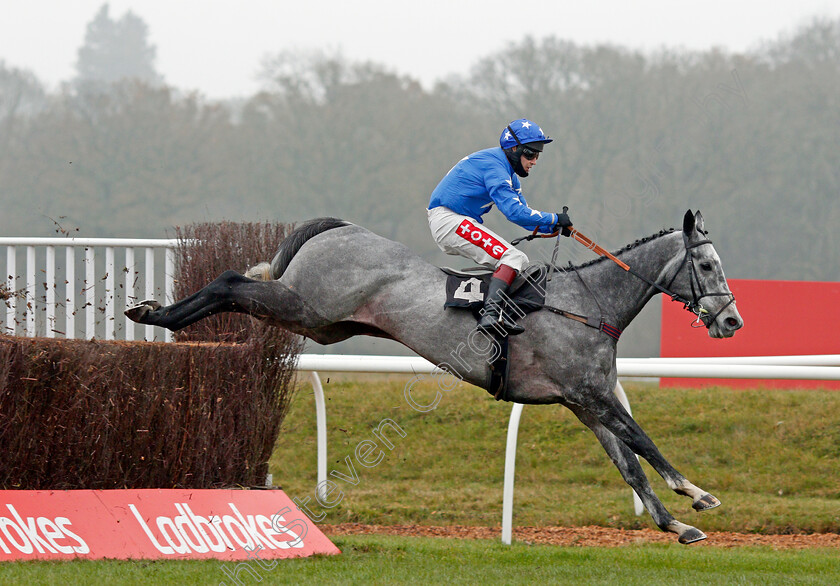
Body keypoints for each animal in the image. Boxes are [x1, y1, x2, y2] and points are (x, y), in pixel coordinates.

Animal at [126, 208, 740, 540]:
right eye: (707, 264)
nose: (731, 320)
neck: (587, 304)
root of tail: (336, 229)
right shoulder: (593, 396)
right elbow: (645, 442)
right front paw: (699, 494)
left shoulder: (585, 405)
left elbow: (630, 466)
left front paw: (676, 525)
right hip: (305, 305)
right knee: (229, 280)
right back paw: (154, 314)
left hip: (320, 323)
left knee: (237, 288)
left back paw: (155, 313)